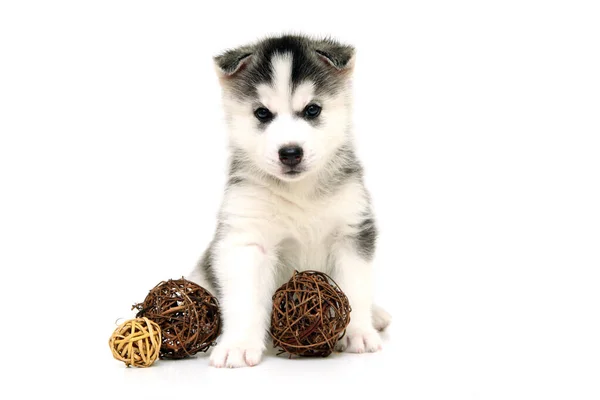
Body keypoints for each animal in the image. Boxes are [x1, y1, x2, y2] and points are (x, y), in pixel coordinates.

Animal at [190, 35, 392, 368]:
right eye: (262, 113)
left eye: (312, 110)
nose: (290, 152)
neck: (299, 192)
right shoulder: (246, 239)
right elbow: (245, 299)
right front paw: (238, 344)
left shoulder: (352, 230)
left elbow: (355, 287)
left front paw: (358, 332)